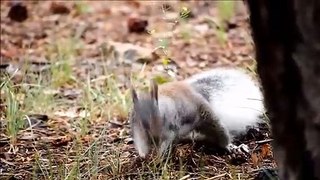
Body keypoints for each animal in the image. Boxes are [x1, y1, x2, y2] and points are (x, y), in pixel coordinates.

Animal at [129, 67, 266, 158]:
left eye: (157, 112)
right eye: (134, 113)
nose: (147, 126)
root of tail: (196, 91)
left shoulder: (171, 126)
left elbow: (167, 140)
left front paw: (158, 156)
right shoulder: (138, 129)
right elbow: (140, 140)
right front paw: (142, 154)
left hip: (208, 119)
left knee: (221, 135)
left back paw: (230, 146)